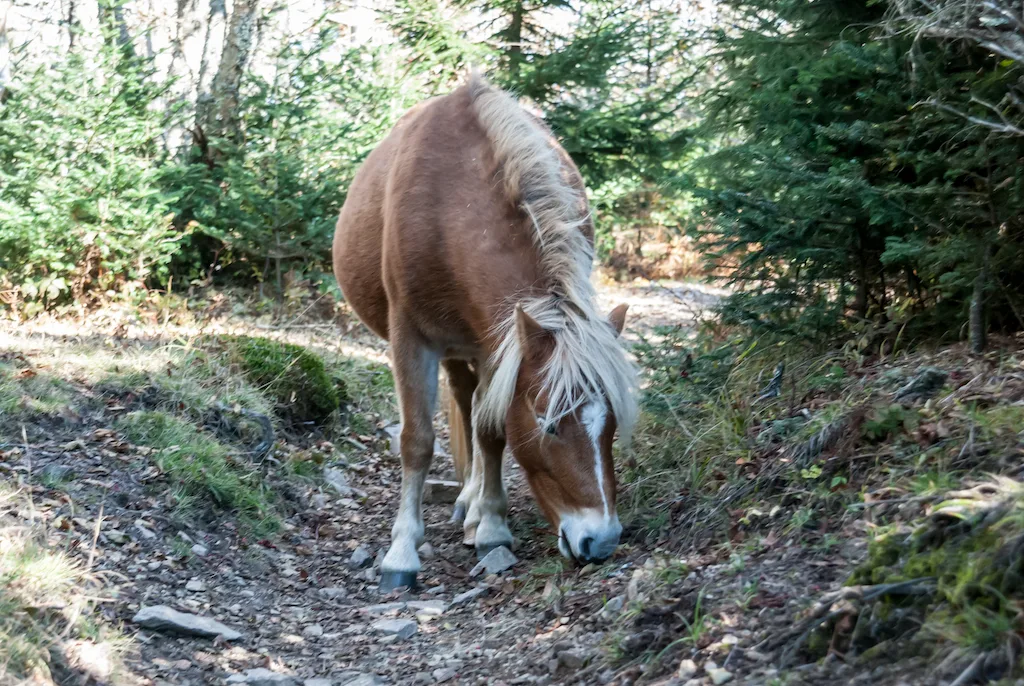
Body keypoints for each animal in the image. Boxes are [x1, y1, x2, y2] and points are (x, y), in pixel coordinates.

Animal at [331, 73, 634, 589]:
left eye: (611, 426)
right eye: (550, 425)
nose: (601, 541)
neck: (450, 202)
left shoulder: (499, 343)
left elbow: (491, 430)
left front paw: (492, 526)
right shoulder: (410, 339)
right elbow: (417, 441)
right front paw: (401, 553)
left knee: (474, 409)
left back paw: (473, 510)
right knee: (460, 398)